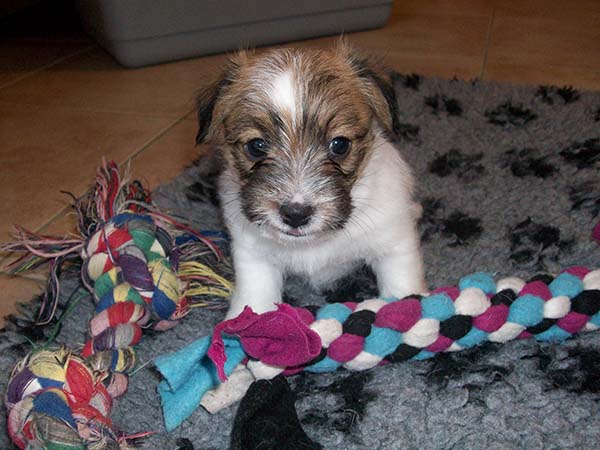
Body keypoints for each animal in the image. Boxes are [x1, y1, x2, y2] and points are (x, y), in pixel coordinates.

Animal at [195, 42, 426, 319]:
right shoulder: (253, 256)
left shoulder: (394, 244)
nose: (296, 214)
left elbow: (402, 285)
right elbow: (255, 296)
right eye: (256, 146)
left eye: (340, 145)